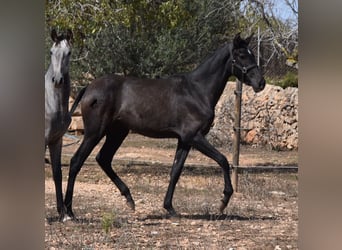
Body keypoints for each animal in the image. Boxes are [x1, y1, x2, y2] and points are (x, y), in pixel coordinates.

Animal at [62, 32, 266, 220]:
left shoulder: (184, 140)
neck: (197, 91)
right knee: (77, 161)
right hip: (95, 132)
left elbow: (175, 171)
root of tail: (89, 88)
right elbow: (222, 160)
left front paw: (169, 208)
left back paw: (129, 199)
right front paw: (223, 201)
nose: (261, 83)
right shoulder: (194, 136)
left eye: (251, 53)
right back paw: (69, 212)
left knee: (103, 159)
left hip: (117, 132)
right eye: (241, 55)